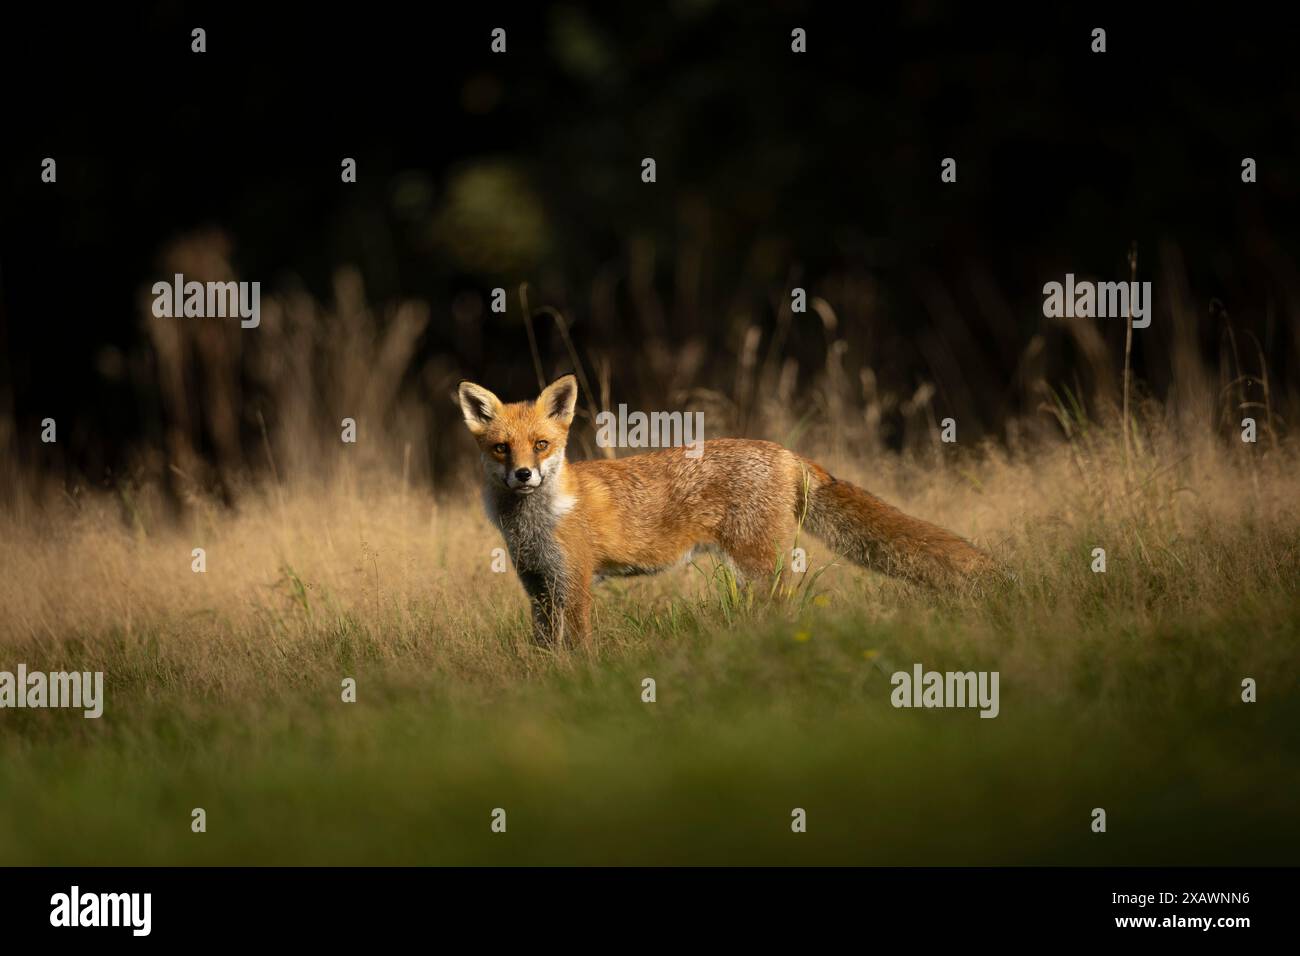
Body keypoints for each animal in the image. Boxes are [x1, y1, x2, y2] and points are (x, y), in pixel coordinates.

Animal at [460, 377, 993, 647]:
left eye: (541, 445)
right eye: (502, 448)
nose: (523, 475)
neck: (533, 524)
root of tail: (784, 451)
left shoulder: (574, 583)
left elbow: (577, 648)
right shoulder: (538, 586)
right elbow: (543, 648)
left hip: (760, 564)